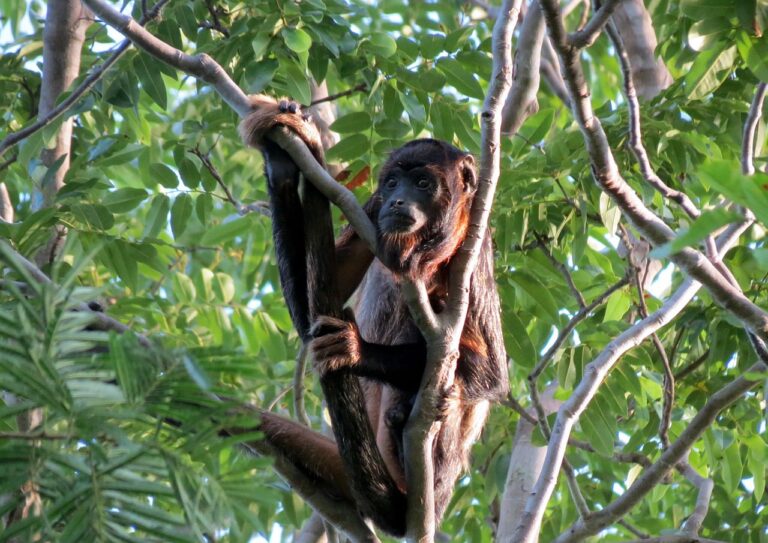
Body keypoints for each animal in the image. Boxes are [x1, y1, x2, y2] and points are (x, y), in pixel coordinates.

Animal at [237, 95, 508, 536]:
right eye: (393, 183)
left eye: (423, 184)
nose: (399, 201)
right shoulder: (372, 209)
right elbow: (308, 317)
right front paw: (283, 163)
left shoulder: (475, 248)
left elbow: (492, 374)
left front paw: (355, 349)